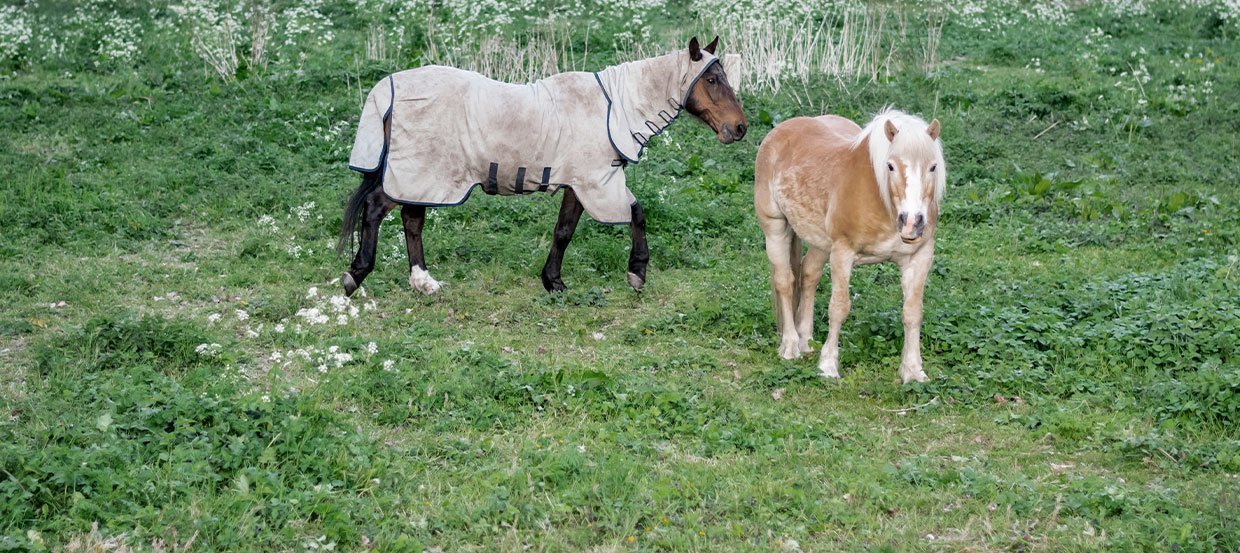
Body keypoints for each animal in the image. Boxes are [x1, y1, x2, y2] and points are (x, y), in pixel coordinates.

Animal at [337, 36, 744, 296]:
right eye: (712, 79)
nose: (739, 128)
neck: (612, 108)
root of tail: (389, 89)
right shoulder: (596, 182)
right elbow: (636, 214)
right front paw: (637, 273)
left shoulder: (579, 184)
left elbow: (563, 231)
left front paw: (553, 281)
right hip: (419, 173)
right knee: (376, 208)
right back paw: (355, 276)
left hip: (424, 177)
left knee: (412, 220)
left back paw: (424, 283)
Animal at [748, 107, 942, 384]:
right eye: (890, 166)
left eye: (933, 166)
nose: (912, 223)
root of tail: (781, 129)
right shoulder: (842, 253)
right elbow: (839, 308)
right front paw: (828, 366)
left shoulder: (919, 257)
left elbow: (912, 313)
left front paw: (914, 371)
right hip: (775, 229)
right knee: (785, 282)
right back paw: (790, 345)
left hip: (820, 242)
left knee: (808, 275)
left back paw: (806, 340)